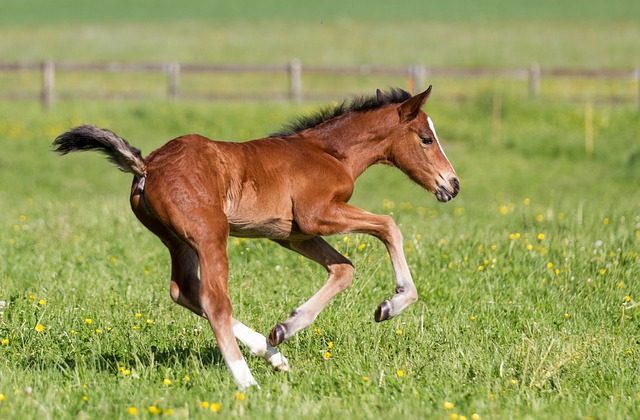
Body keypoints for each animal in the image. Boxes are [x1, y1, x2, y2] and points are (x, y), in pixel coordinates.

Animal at [52, 87, 458, 388]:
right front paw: (394, 303)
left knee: (185, 290)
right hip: (210, 235)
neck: (329, 153)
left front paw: (284, 328)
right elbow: (389, 225)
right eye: (426, 138)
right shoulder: (318, 215)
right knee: (214, 300)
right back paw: (246, 381)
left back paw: (273, 355)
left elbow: (344, 269)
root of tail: (147, 166)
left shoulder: (293, 235)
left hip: (178, 241)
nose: (451, 185)